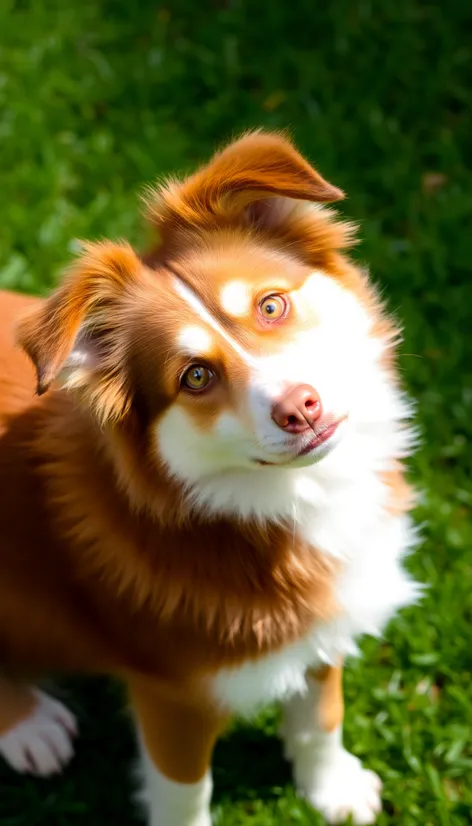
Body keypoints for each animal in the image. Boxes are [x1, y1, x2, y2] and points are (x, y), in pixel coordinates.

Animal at [0, 132, 420, 820]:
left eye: (271, 305)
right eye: (195, 376)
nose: (300, 407)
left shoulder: (322, 617)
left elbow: (319, 716)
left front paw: (332, 790)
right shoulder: (173, 692)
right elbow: (185, 791)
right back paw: (29, 725)